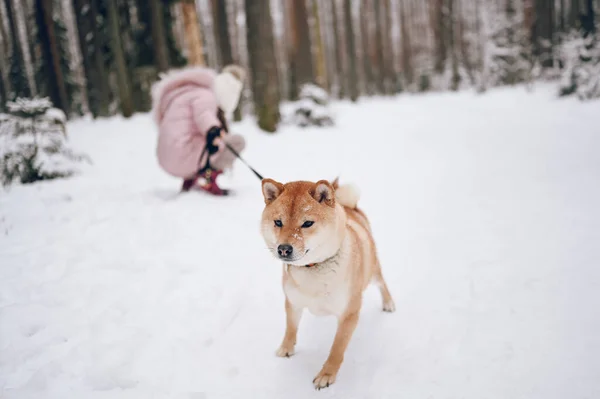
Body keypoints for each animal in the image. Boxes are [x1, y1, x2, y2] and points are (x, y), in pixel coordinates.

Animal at [258, 178, 394, 390]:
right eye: (278, 222)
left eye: (307, 223)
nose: (284, 249)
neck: (314, 268)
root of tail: (350, 207)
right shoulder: (293, 302)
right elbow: (290, 329)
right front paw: (286, 348)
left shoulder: (348, 314)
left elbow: (337, 348)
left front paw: (327, 374)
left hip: (372, 271)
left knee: (382, 282)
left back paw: (388, 303)